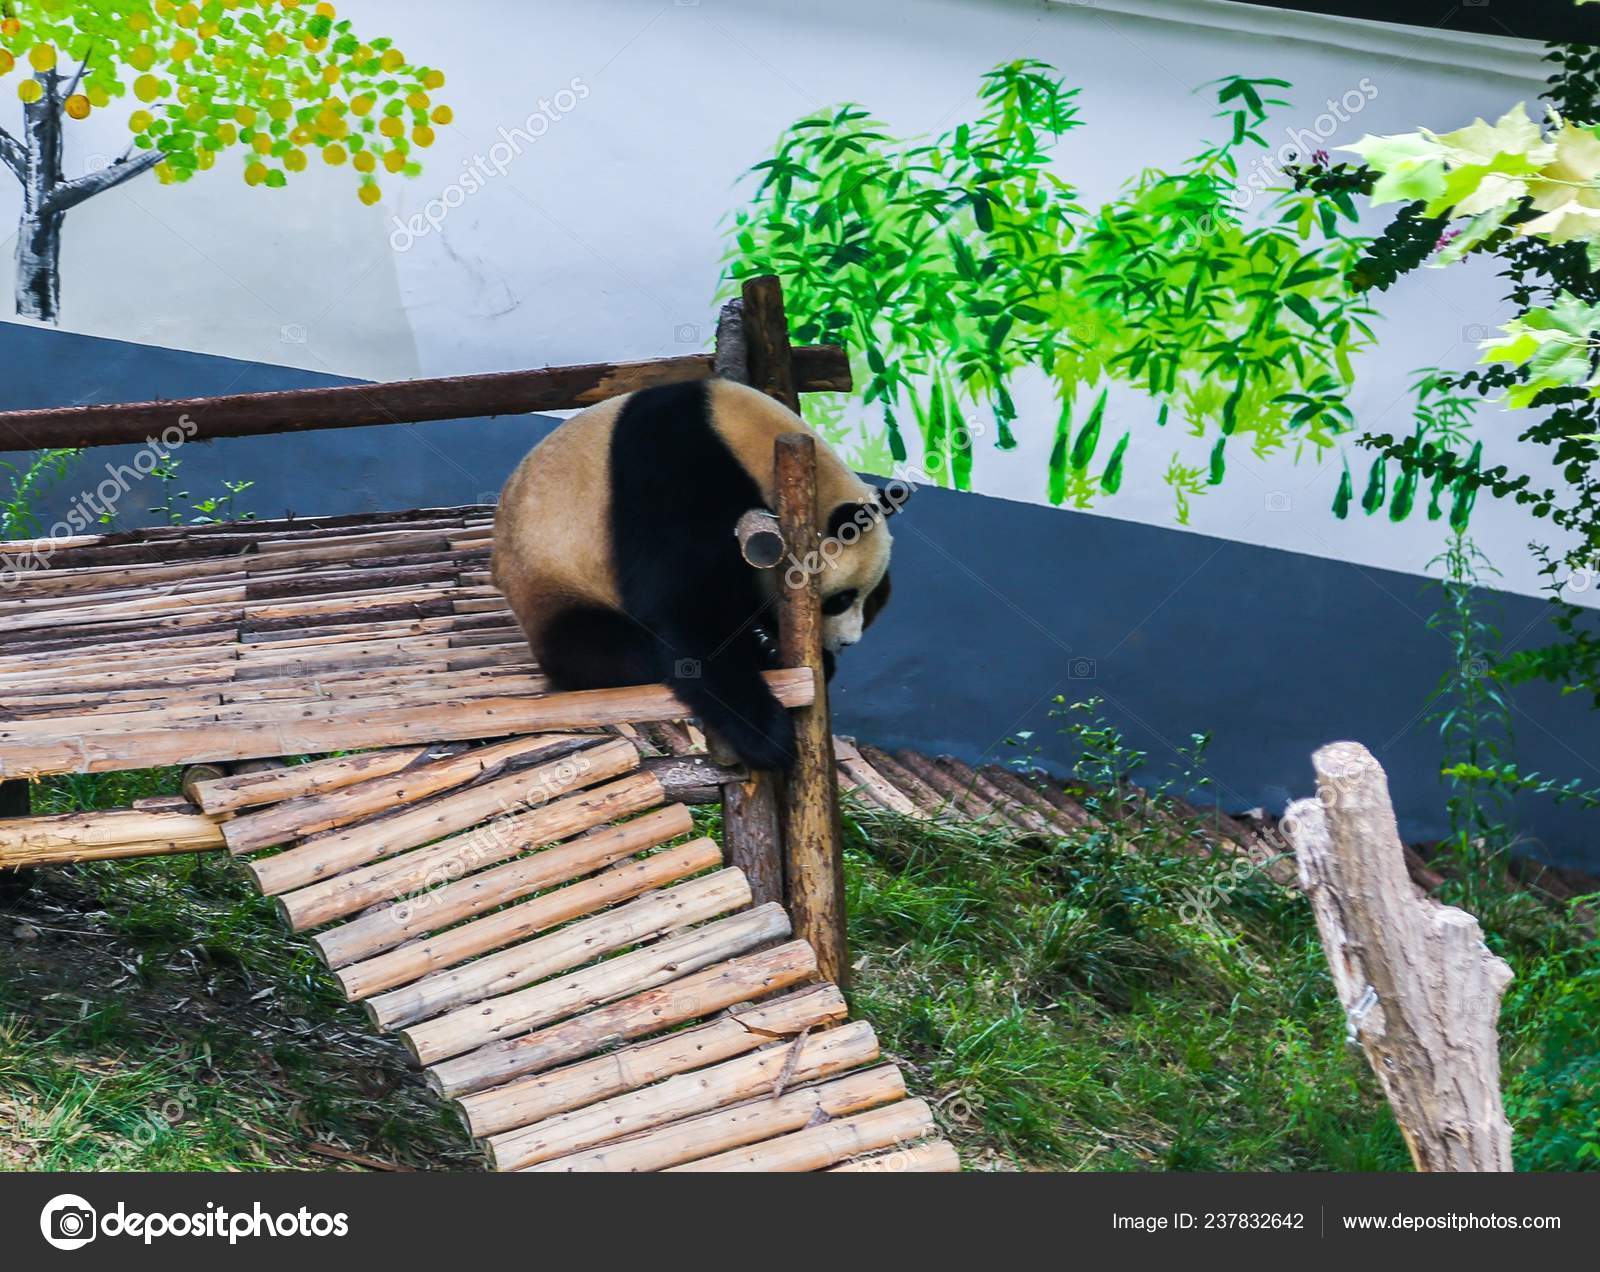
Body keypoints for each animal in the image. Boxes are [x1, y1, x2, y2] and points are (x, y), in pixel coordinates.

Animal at [491, 378, 906, 771]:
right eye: (842, 599)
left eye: (873, 599)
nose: (848, 642)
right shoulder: (675, 465)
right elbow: (682, 605)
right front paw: (767, 735)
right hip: (556, 582)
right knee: (607, 648)